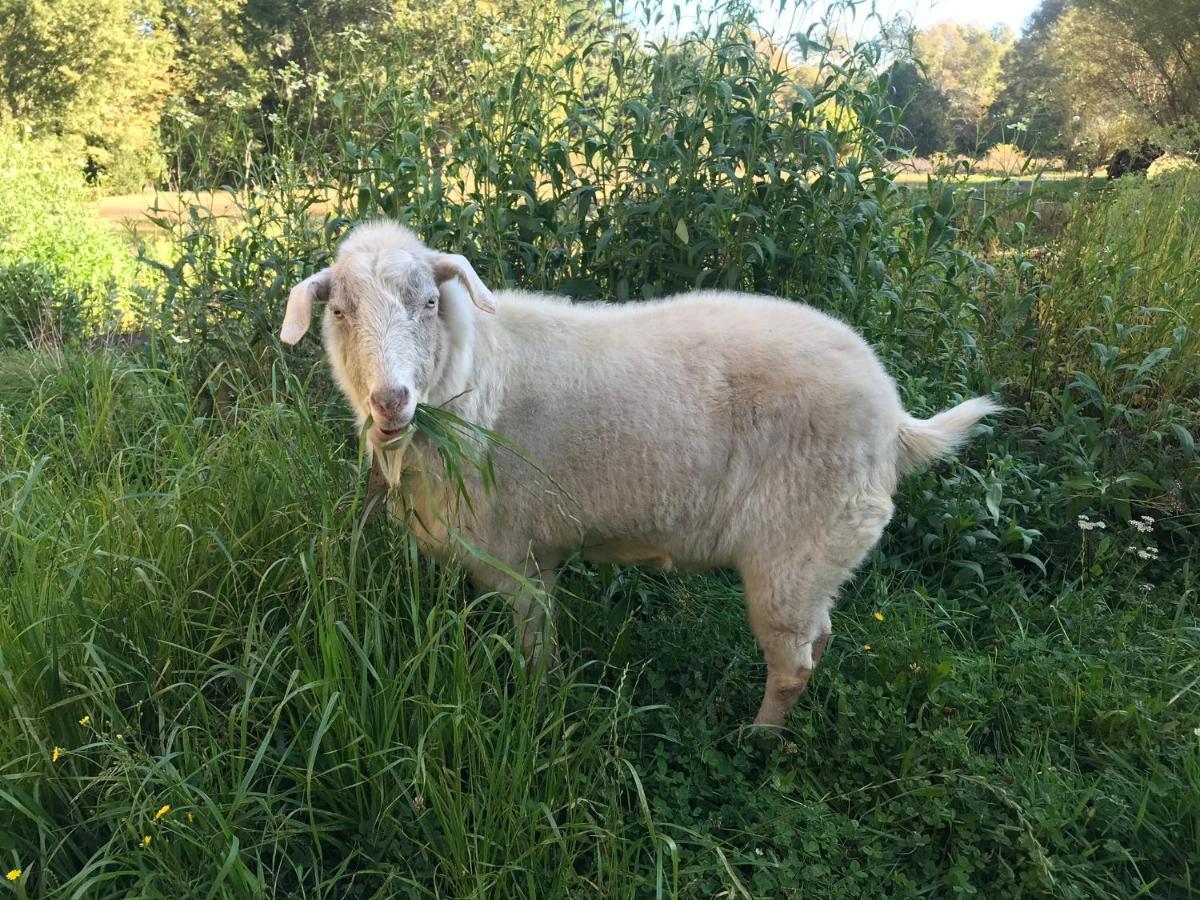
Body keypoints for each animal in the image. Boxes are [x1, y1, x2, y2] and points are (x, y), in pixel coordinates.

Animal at [278, 222, 993, 729]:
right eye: (338, 312)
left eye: (429, 302)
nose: (391, 401)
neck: (475, 374)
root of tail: (896, 420)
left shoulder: (521, 557)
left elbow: (536, 657)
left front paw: (538, 717)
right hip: (818, 558)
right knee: (817, 641)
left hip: (800, 546)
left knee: (792, 664)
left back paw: (757, 741)